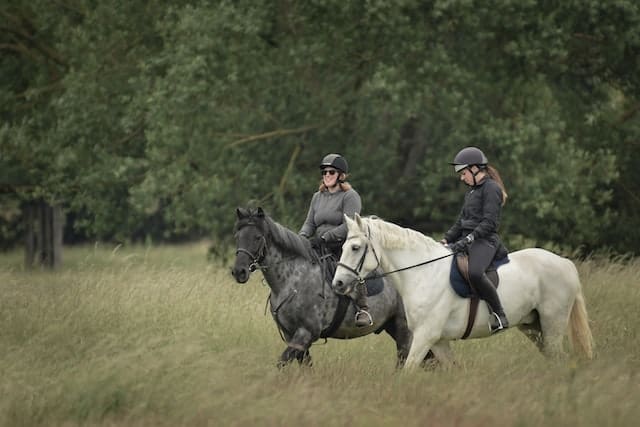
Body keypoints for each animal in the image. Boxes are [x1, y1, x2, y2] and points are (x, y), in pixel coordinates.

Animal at [230, 207, 416, 368]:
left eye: (257, 237)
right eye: (237, 236)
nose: (239, 272)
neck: (293, 281)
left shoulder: (305, 333)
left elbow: (282, 362)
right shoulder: (292, 334)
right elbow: (305, 365)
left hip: (403, 328)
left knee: (404, 358)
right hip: (391, 326)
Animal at [332, 216, 592, 370]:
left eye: (355, 247)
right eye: (343, 246)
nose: (338, 283)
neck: (423, 273)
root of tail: (564, 263)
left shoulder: (425, 336)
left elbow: (409, 370)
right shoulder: (438, 341)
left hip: (552, 324)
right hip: (533, 327)